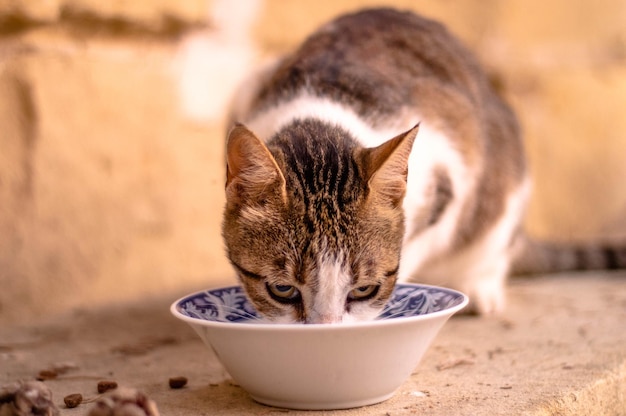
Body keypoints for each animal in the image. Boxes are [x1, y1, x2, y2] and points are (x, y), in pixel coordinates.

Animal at [221, 8, 624, 324]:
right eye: (282, 289)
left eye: (364, 289)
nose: (328, 327)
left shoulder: (450, 175)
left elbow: (412, 250)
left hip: (504, 190)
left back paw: (479, 287)